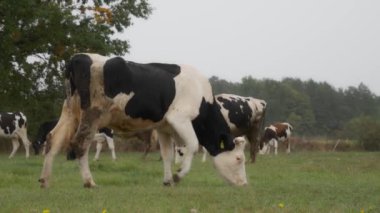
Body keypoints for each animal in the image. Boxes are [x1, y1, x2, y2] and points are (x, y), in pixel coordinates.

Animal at [37, 53, 246, 188]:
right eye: (238, 158)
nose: (244, 183)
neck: (202, 96)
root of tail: (78, 58)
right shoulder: (180, 118)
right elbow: (193, 145)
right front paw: (179, 175)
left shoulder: (164, 127)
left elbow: (167, 154)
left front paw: (168, 181)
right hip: (91, 114)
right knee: (80, 144)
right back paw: (89, 182)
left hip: (70, 112)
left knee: (53, 139)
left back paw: (45, 180)